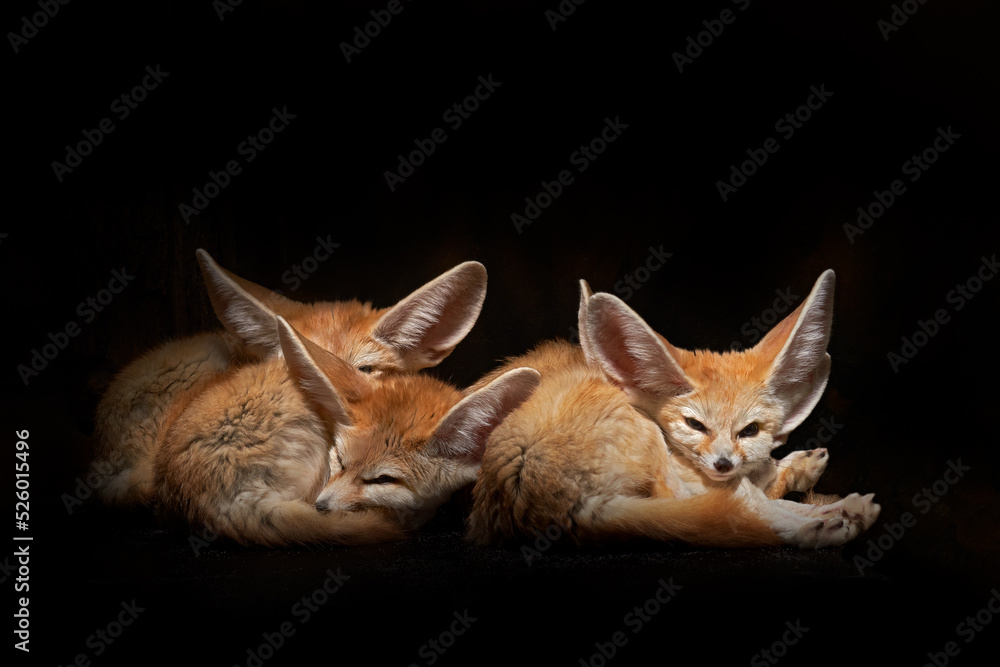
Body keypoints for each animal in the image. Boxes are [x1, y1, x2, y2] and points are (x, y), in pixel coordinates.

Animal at [467, 270, 880, 549]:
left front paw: (801, 472)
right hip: (651, 448)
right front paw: (821, 509)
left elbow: (757, 484)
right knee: (738, 510)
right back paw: (817, 527)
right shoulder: (694, 475)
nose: (723, 463)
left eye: (749, 430)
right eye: (695, 424)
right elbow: (750, 501)